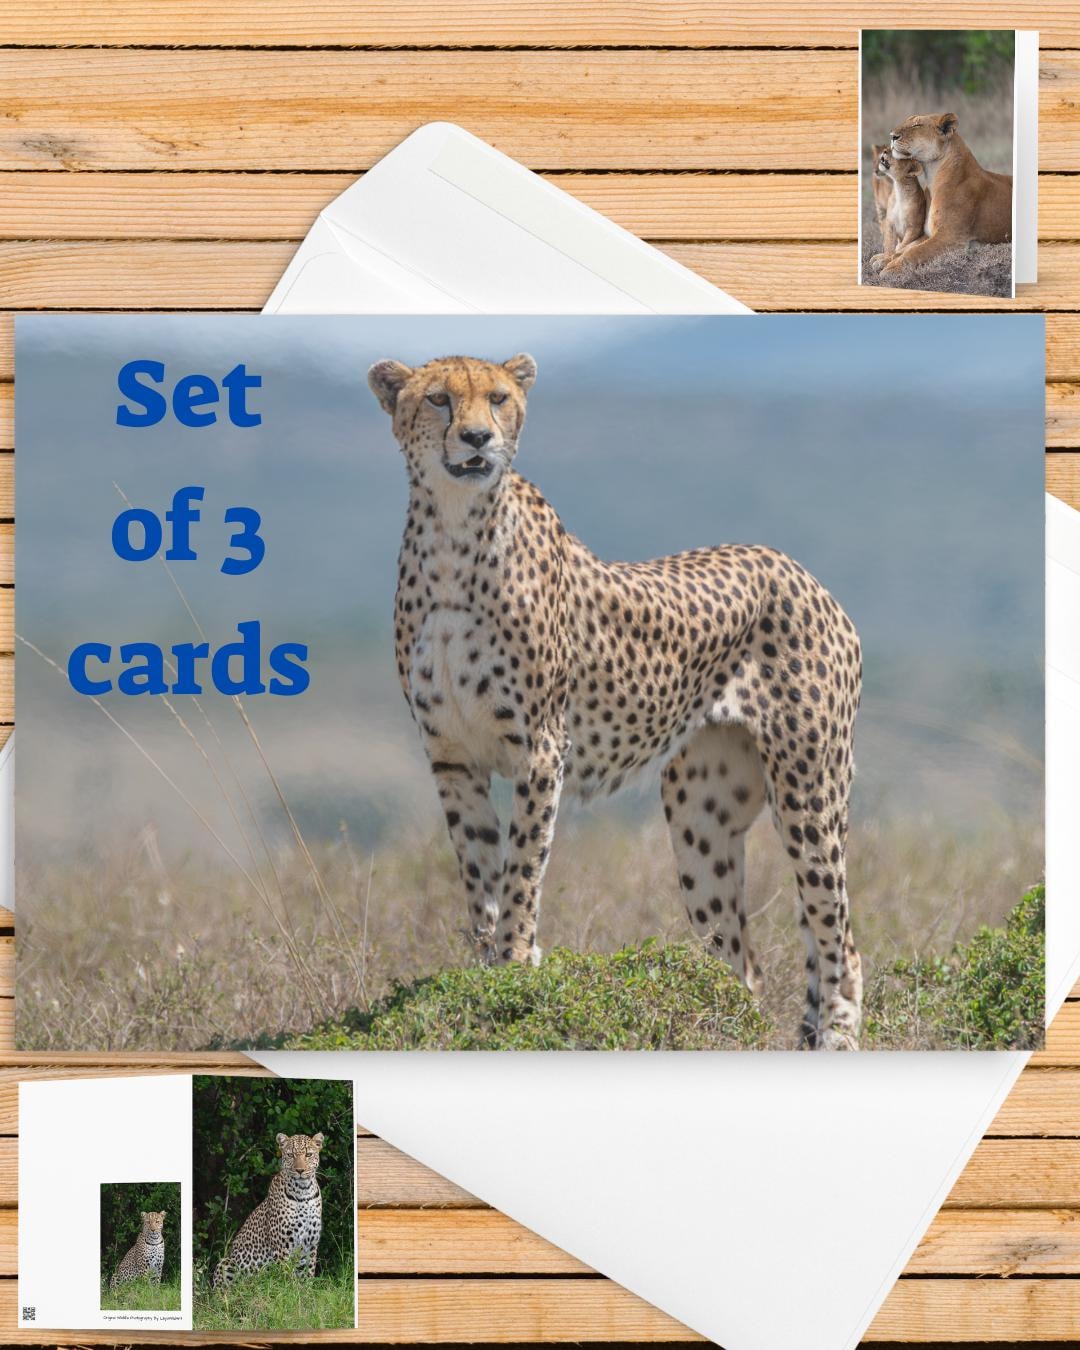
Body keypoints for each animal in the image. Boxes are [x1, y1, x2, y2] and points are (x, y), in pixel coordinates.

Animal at [211, 1132, 324, 1287]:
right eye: (290, 1155)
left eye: (308, 1155)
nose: (300, 1171)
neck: (304, 1192)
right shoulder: (282, 1246)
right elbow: (288, 1276)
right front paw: (292, 1290)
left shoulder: (311, 1245)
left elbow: (308, 1274)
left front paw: (306, 1291)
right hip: (226, 1262)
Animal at [368, 353, 863, 1049]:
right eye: (438, 399)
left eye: (497, 398)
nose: (477, 439)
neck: (452, 534)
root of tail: (798, 570)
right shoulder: (451, 756)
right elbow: (479, 870)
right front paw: (483, 967)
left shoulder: (541, 750)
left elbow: (522, 868)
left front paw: (515, 963)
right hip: (699, 812)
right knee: (741, 963)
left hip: (809, 791)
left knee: (838, 940)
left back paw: (838, 1036)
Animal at [881, 112, 1011, 276]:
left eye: (917, 125)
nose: (892, 136)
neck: (932, 177)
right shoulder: (928, 232)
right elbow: (906, 247)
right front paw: (882, 259)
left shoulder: (950, 236)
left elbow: (915, 251)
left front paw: (891, 268)